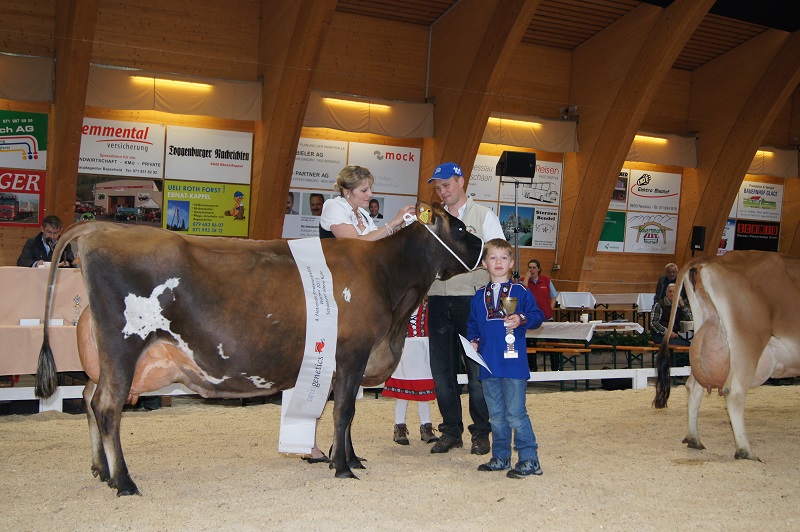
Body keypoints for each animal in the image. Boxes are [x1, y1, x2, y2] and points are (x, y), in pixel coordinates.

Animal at [35, 201, 483, 496]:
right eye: (461, 229)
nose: (489, 246)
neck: (387, 279)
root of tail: (101, 228)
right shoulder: (352, 353)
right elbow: (344, 412)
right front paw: (342, 469)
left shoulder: (344, 365)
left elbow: (344, 415)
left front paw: (349, 457)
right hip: (124, 346)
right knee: (107, 406)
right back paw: (125, 482)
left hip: (111, 359)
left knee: (89, 396)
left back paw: (101, 470)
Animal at [653, 250, 800, 460]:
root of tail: (712, 258)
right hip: (748, 341)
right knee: (734, 390)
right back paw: (745, 451)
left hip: (704, 334)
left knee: (693, 386)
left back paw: (694, 439)